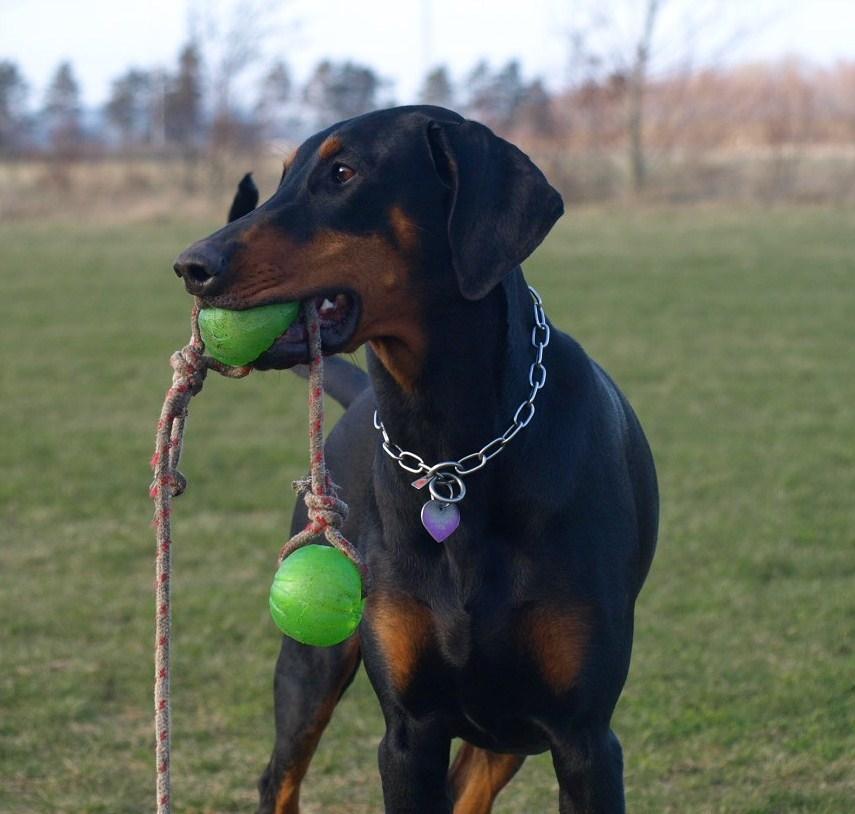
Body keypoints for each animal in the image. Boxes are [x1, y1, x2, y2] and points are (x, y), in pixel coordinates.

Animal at [172, 107, 656, 814]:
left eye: (343, 173)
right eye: (285, 176)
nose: (190, 265)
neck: (451, 453)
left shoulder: (584, 736)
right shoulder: (408, 731)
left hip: (509, 729)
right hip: (311, 665)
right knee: (279, 776)